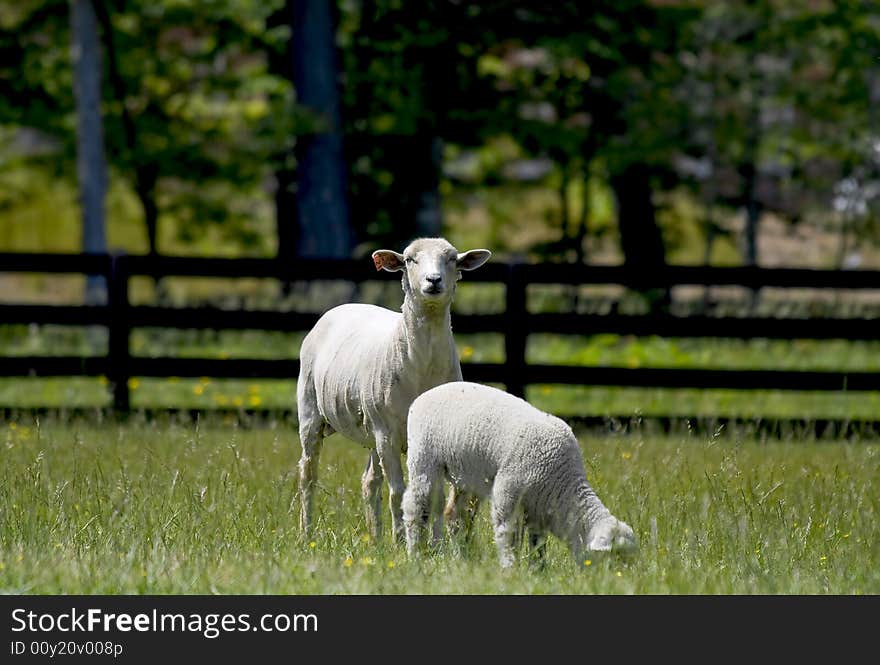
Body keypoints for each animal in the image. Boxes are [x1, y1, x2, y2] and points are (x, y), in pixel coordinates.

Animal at [294, 237, 488, 540]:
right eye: (409, 260)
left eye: (452, 259)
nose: (434, 280)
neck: (422, 365)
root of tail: (343, 306)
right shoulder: (388, 435)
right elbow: (398, 494)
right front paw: (400, 540)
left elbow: (434, 498)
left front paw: (435, 544)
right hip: (313, 413)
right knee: (308, 474)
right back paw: (307, 533)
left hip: (373, 430)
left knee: (369, 482)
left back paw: (375, 539)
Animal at [402, 382, 636, 568]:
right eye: (613, 558)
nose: (618, 581)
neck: (562, 485)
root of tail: (422, 397)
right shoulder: (509, 492)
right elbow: (508, 534)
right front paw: (510, 569)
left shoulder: (539, 506)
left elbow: (537, 542)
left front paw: (538, 570)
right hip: (423, 458)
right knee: (416, 507)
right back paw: (415, 555)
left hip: (466, 475)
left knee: (456, 516)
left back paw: (462, 558)